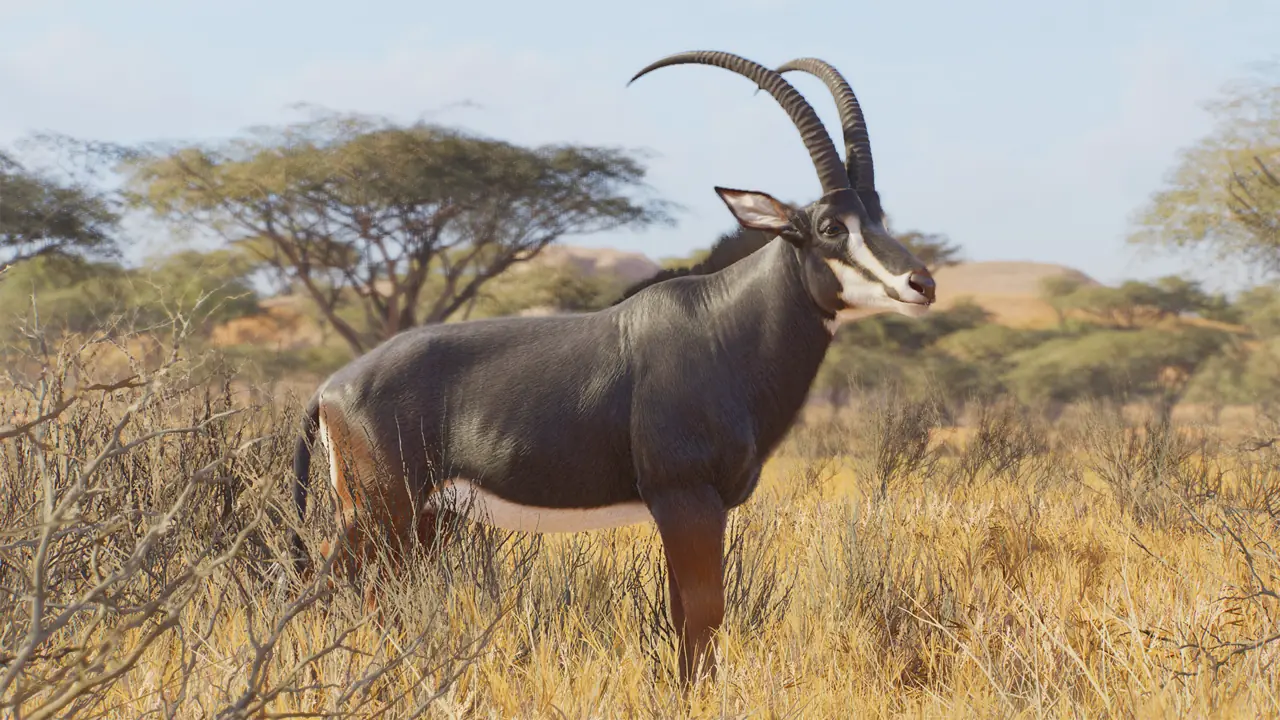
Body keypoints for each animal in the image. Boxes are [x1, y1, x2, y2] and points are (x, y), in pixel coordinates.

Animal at [288, 50, 936, 684]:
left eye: (878, 216)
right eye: (830, 227)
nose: (921, 283)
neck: (723, 326)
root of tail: (330, 389)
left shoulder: (697, 508)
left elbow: (686, 616)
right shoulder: (684, 497)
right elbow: (704, 614)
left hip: (420, 522)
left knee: (377, 597)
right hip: (375, 513)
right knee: (319, 588)